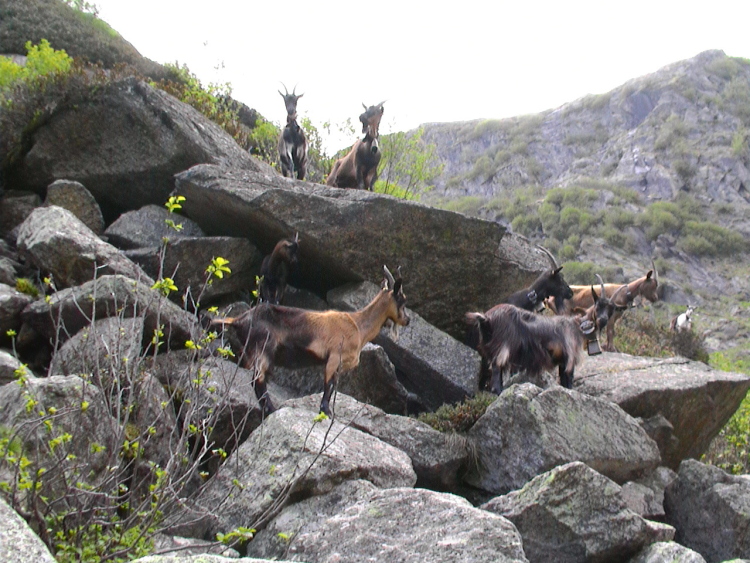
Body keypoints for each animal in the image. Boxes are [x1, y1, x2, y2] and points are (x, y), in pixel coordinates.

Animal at [214, 266, 412, 416]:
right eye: (401, 299)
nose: (407, 320)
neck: (358, 325)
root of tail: (239, 319)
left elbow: (332, 387)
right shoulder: (334, 357)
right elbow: (328, 386)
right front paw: (326, 412)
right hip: (263, 349)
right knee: (258, 380)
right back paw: (271, 409)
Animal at [470, 276, 628, 394]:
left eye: (612, 310)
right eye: (598, 305)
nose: (602, 320)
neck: (578, 326)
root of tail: (487, 318)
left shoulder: (562, 361)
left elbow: (564, 381)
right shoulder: (570, 358)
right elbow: (568, 381)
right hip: (504, 345)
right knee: (497, 370)